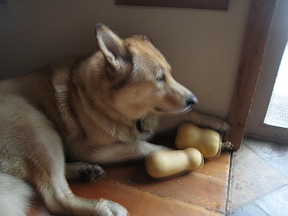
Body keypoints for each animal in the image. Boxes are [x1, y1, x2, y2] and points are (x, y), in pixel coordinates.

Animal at [0, 24, 230, 215]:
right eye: (159, 78)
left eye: (170, 74)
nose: (194, 100)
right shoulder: (90, 150)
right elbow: (138, 145)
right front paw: (168, 151)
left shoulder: (152, 118)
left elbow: (186, 116)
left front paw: (217, 122)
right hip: (41, 130)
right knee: (57, 198)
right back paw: (103, 207)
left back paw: (83, 171)